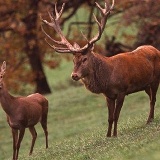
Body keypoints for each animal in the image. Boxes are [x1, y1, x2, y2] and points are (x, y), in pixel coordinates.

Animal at [41, 0, 160, 137]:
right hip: (146, 85)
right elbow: (110, 118)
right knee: (151, 98)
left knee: (153, 99)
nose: (74, 75)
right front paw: (108, 136)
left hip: (155, 79)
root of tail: (156, 49)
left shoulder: (122, 90)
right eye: (73, 60)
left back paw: (149, 120)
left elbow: (116, 116)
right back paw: (150, 119)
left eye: (84, 59)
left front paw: (115, 134)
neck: (108, 79)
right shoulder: (108, 95)